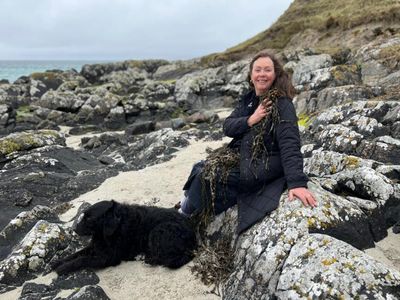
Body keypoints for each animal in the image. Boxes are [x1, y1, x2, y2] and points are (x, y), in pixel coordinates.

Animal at [53, 200, 197, 276]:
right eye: (84, 216)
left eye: (89, 218)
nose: (74, 229)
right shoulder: (96, 246)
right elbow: (77, 253)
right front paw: (59, 262)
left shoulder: (108, 257)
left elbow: (82, 259)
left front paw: (63, 268)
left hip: (158, 230)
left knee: (169, 258)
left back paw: (145, 257)